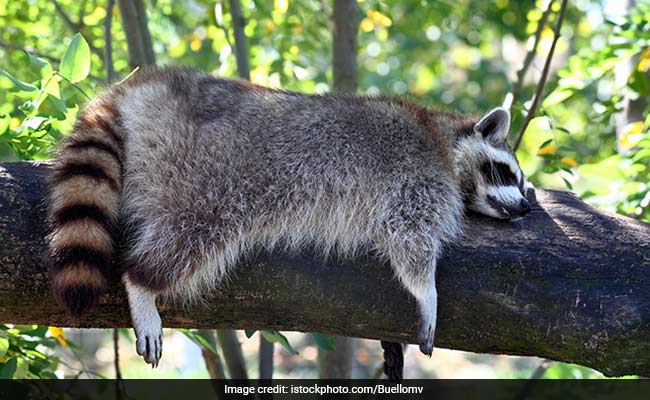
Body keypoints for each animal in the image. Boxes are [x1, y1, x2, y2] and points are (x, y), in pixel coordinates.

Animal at [48, 68, 528, 372]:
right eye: (507, 173)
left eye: (524, 184)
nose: (525, 208)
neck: (443, 138)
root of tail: (150, 84)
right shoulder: (417, 179)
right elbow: (410, 240)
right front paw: (427, 293)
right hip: (201, 174)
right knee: (192, 233)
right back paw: (142, 284)